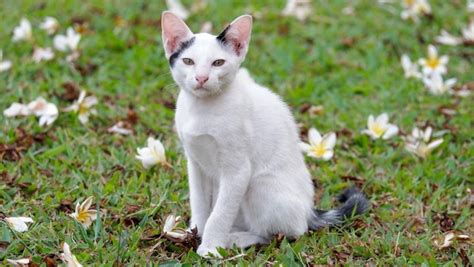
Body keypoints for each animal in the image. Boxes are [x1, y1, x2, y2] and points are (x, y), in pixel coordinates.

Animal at [161, 11, 368, 258]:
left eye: (218, 62)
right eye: (188, 61)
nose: (201, 78)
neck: (202, 109)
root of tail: (309, 211)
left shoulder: (238, 171)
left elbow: (220, 214)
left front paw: (210, 248)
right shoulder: (195, 164)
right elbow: (200, 204)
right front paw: (195, 233)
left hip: (259, 185)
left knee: (284, 232)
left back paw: (233, 239)